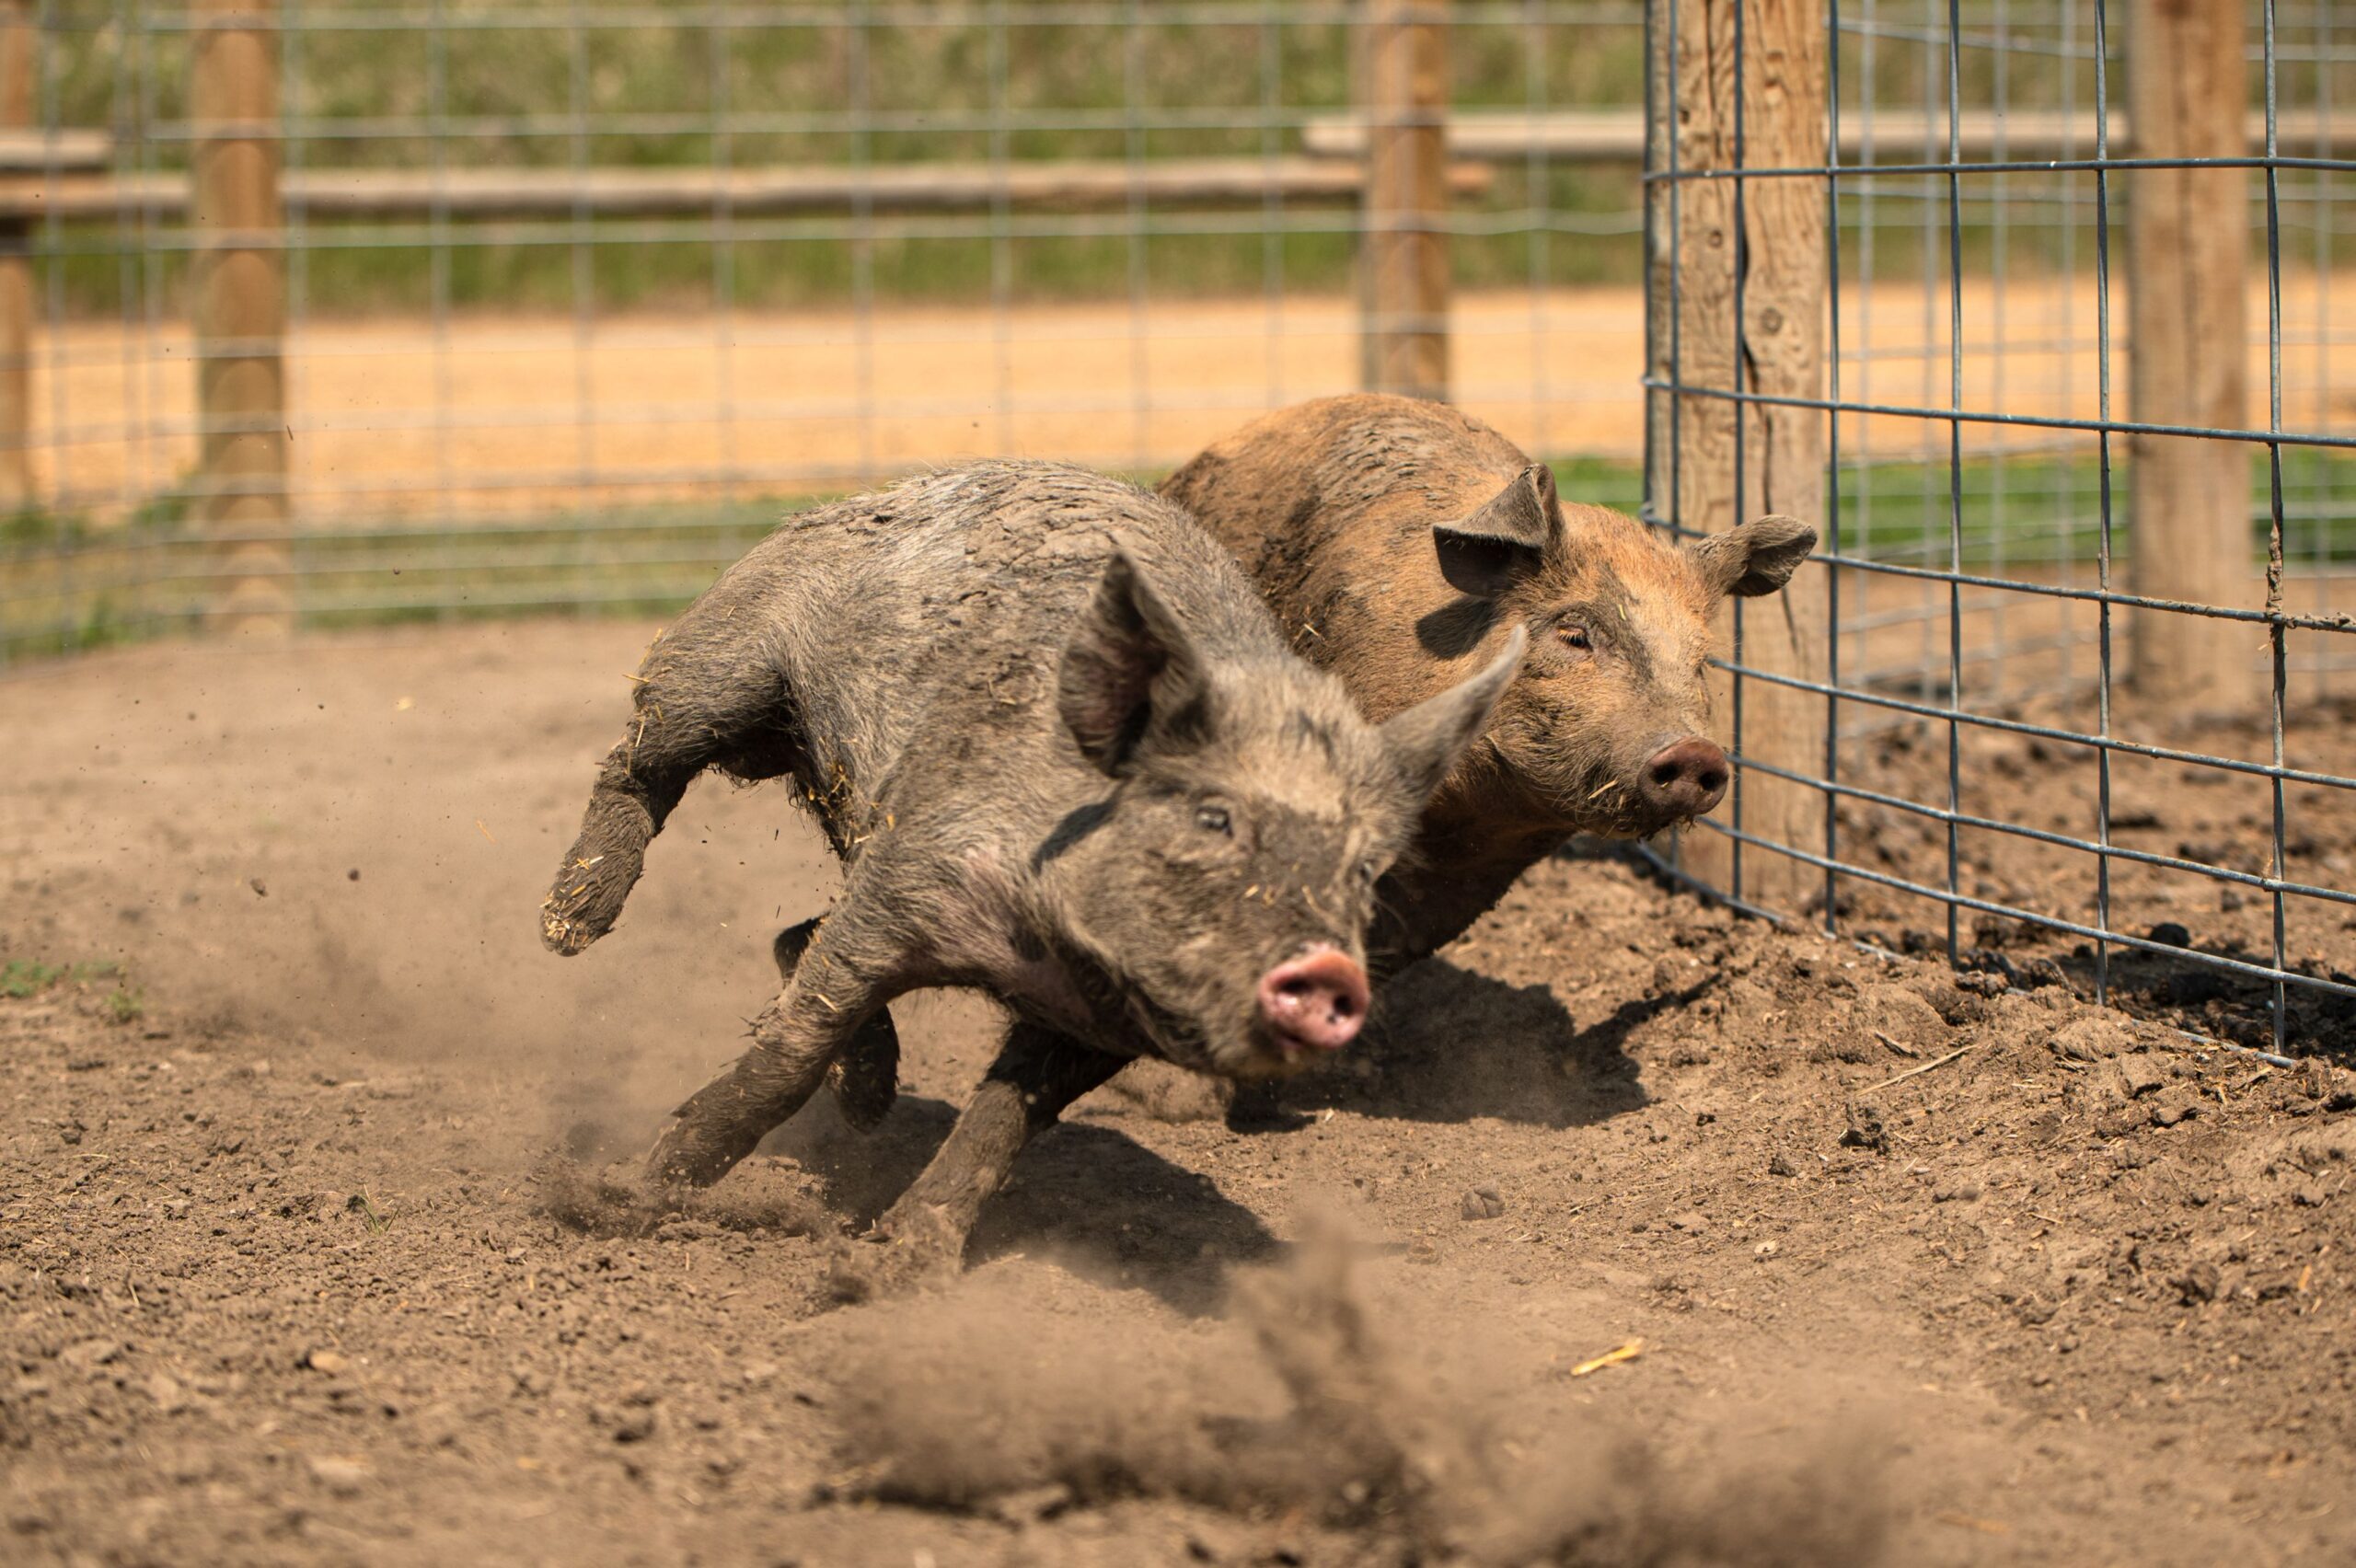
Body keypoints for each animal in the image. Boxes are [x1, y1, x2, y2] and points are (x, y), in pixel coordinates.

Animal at [539, 460, 1520, 1270]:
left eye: (1364, 869)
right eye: (1215, 819)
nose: (1328, 971)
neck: (1037, 942)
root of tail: (852, 500)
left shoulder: (1089, 1027)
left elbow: (1001, 1126)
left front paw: (888, 1269)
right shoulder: (910, 878)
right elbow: (791, 1051)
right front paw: (618, 1201)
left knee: (791, 931)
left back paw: (869, 1102)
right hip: (724, 657)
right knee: (643, 761)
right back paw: (570, 924)